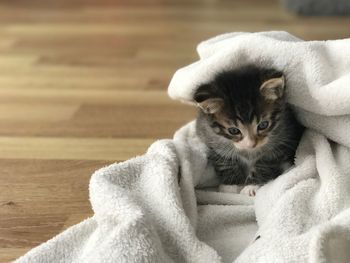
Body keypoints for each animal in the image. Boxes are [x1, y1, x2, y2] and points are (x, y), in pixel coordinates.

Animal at [194, 65, 304, 196]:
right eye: (233, 131)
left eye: (263, 125)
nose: (251, 144)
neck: (248, 152)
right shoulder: (209, 138)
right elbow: (225, 161)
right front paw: (231, 186)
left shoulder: (284, 140)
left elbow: (266, 164)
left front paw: (252, 185)